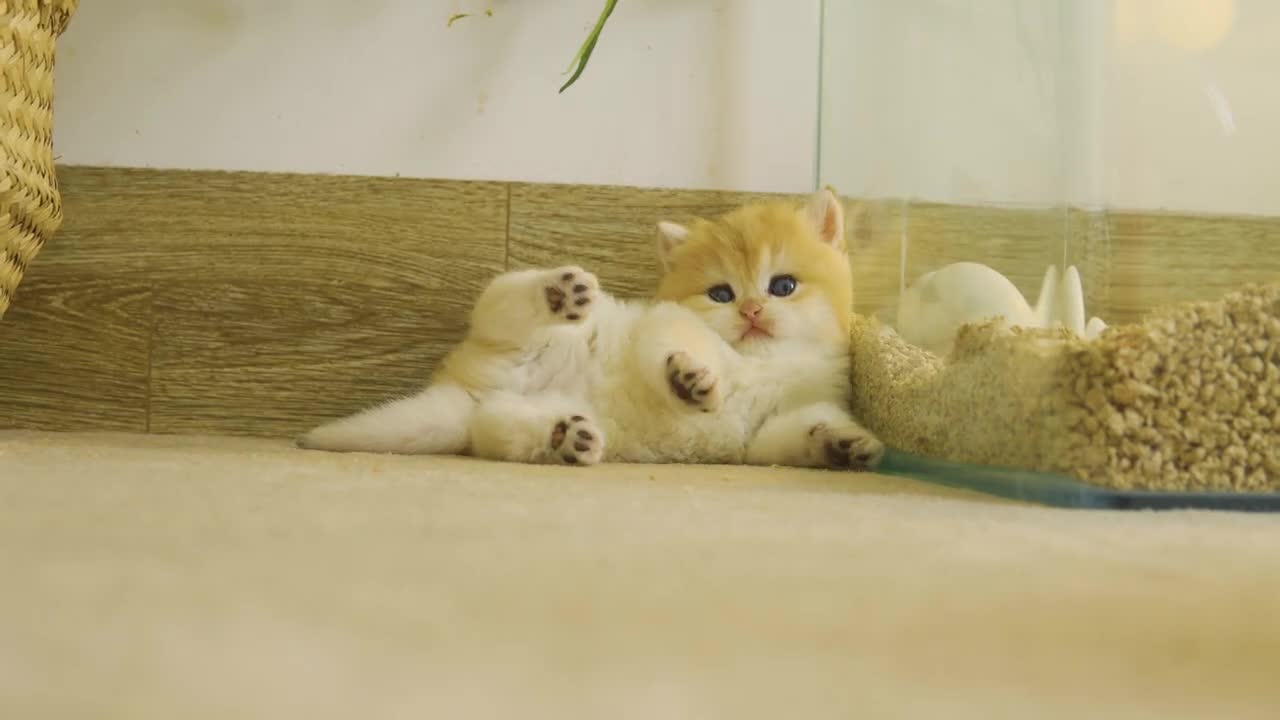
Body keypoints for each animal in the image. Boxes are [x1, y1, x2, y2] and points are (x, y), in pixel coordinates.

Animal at [295, 188, 885, 468]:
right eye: (721, 294)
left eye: (783, 285)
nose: (752, 312)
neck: (762, 365)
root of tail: (467, 386)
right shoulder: (663, 322)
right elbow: (683, 345)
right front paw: (692, 381)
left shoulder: (764, 433)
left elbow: (792, 434)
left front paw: (840, 444)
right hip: (518, 330)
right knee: (500, 301)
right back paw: (556, 293)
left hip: (513, 409)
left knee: (496, 430)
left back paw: (561, 437)